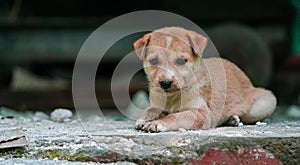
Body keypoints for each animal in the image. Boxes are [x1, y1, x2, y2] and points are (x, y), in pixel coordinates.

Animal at [134, 27, 276, 133]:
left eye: (181, 61)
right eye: (153, 61)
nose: (165, 83)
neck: (173, 97)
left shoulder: (202, 113)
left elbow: (176, 115)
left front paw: (158, 123)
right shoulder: (157, 105)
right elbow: (151, 110)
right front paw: (144, 119)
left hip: (262, 105)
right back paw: (231, 119)